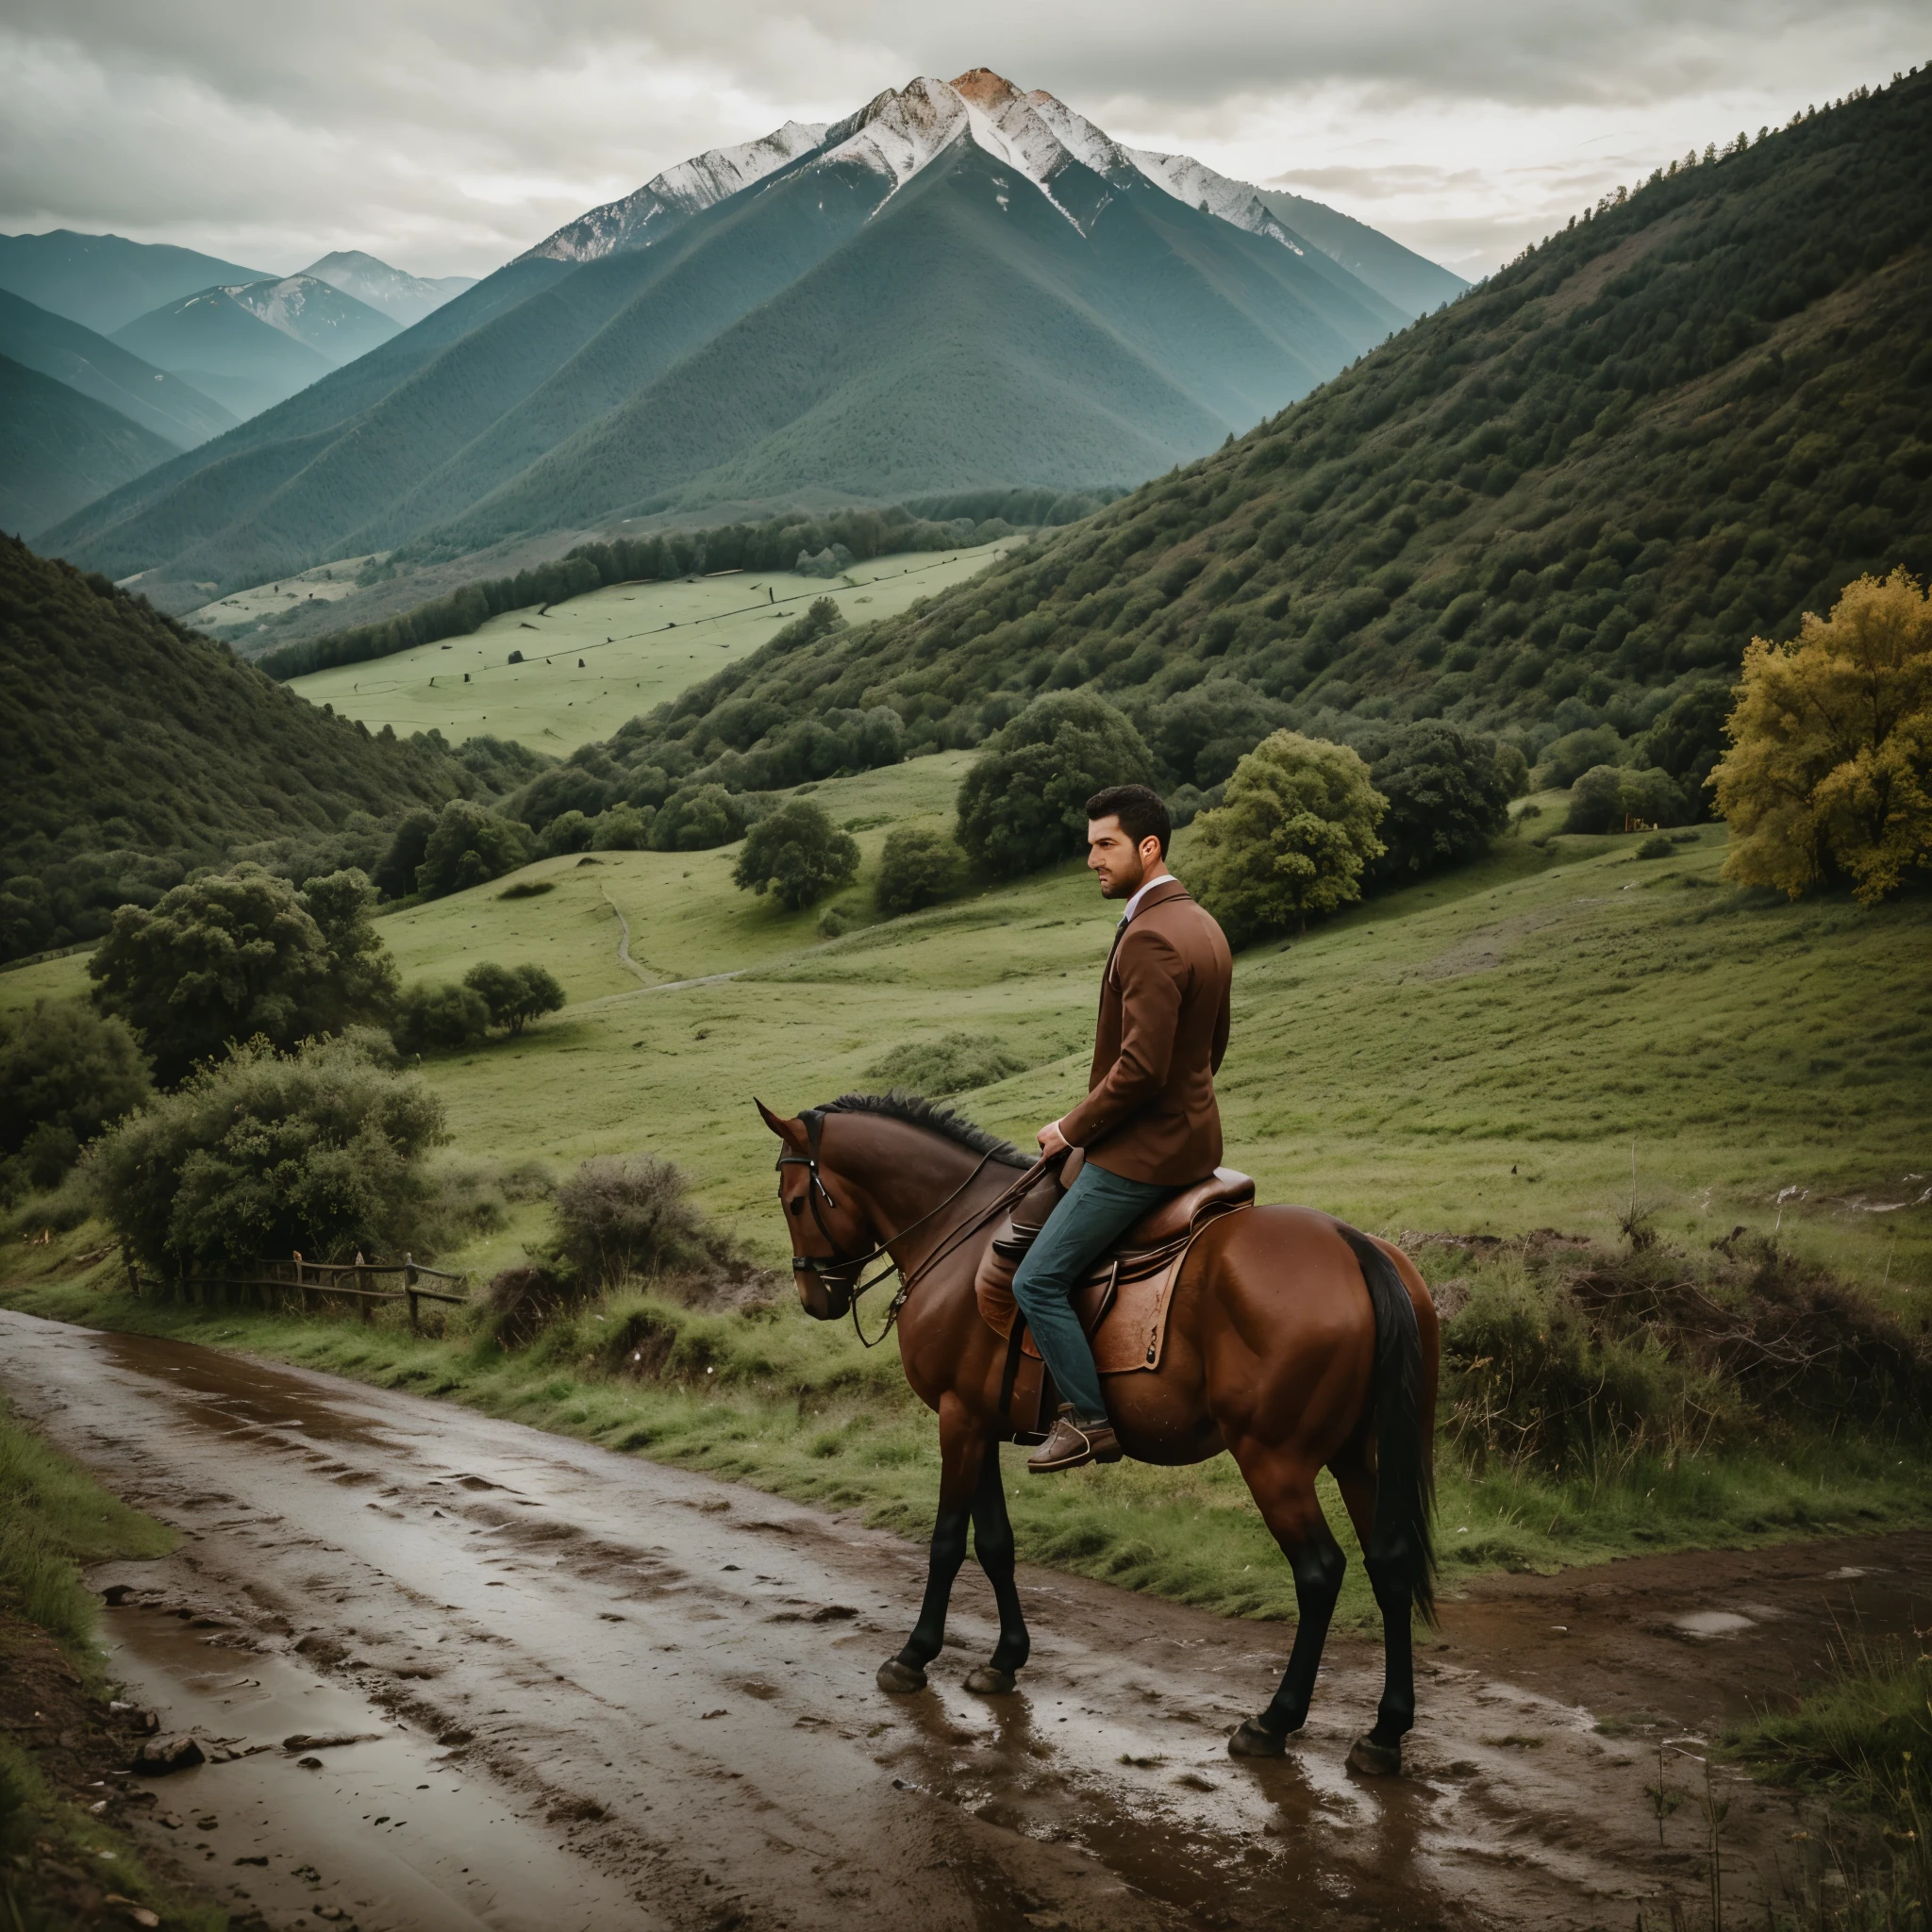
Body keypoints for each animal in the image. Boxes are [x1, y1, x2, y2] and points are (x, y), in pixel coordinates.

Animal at [753, 1097, 1437, 1769]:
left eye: (794, 1201)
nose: (813, 1297)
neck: (961, 1232)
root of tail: (1353, 1243)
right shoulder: (980, 1419)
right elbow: (995, 1543)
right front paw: (1004, 1660)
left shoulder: (958, 1417)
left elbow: (947, 1541)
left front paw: (914, 1655)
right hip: (1359, 1459)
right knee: (1390, 1563)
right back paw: (1384, 1733)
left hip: (1275, 1461)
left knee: (1319, 1573)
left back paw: (1274, 1721)